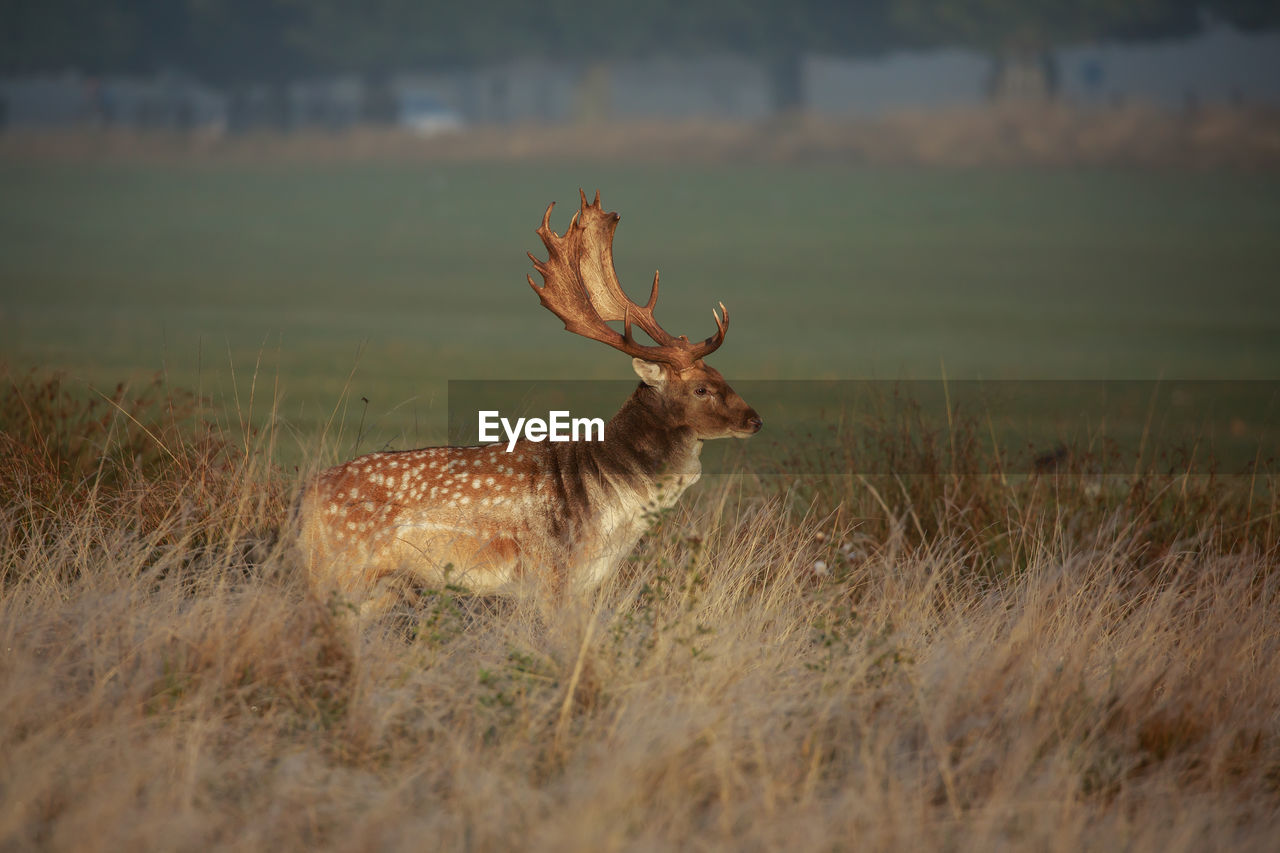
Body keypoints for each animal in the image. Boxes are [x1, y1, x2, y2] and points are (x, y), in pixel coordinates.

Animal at [296, 190, 757, 612]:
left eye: (722, 376)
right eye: (701, 388)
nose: (755, 419)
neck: (612, 509)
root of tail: (304, 499)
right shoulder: (551, 574)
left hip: (378, 588)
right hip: (337, 571)